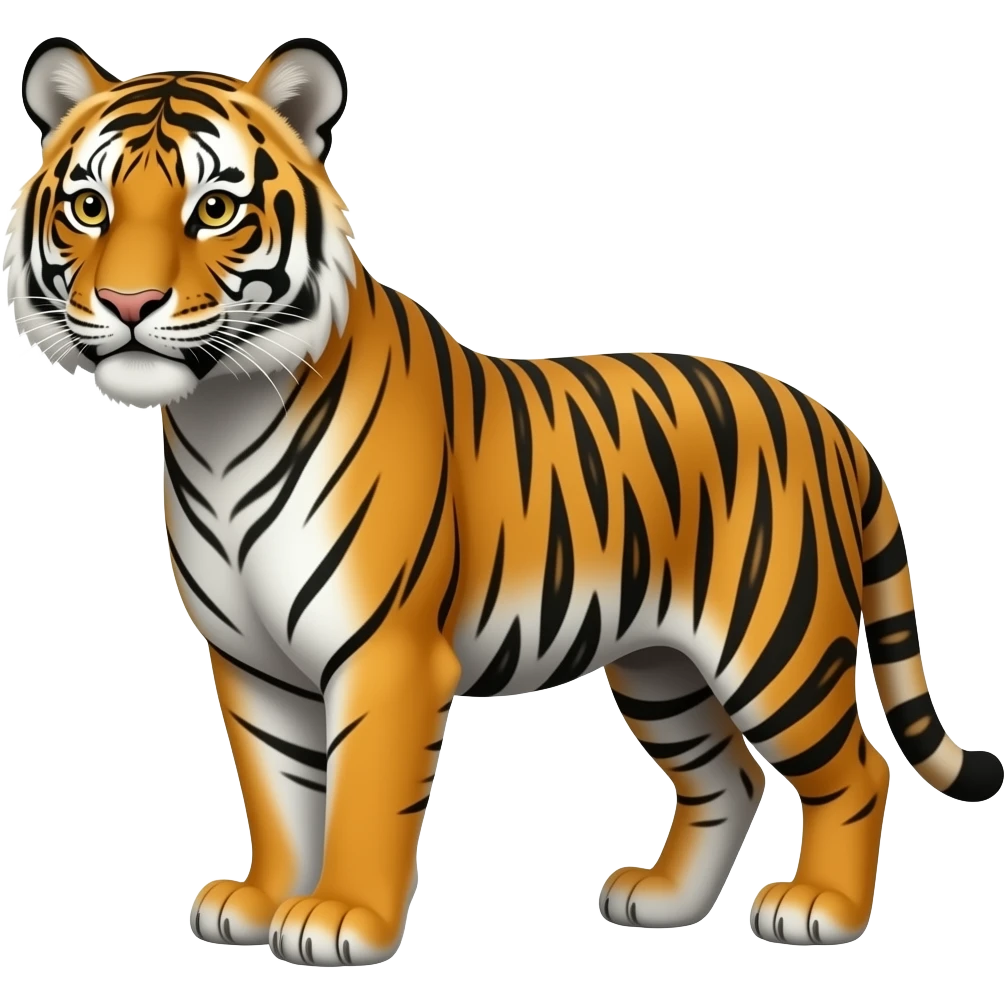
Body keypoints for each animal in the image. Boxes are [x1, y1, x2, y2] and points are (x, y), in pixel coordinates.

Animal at [6, 35, 1001, 967]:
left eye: (214, 209)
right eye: (90, 206)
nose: (128, 301)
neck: (217, 416)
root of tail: (828, 418)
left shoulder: (385, 653)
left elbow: (362, 793)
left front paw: (339, 918)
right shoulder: (250, 661)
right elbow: (278, 790)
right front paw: (260, 901)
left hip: (776, 644)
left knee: (856, 770)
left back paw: (818, 909)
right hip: (658, 663)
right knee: (727, 775)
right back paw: (662, 901)